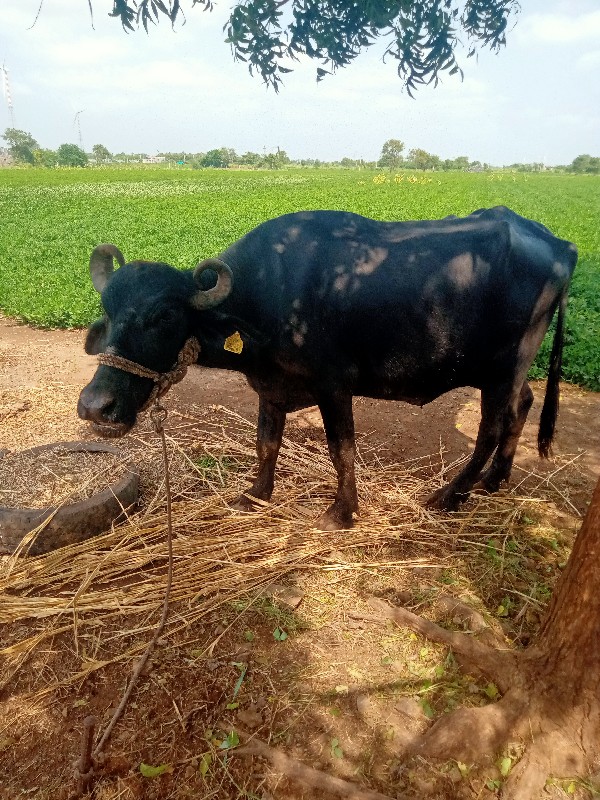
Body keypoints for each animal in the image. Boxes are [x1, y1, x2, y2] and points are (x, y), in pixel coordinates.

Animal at [78, 209, 576, 528]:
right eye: (108, 308)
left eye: (164, 315)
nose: (95, 406)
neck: (267, 296)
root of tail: (561, 245)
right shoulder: (271, 387)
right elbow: (266, 444)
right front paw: (255, 495)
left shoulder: (334, 386)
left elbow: (343, 450)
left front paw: (342, 512)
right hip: (511, 372)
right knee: (522, 406)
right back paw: (495, 481)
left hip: (503, 369)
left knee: (492, 427)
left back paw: (449, 496)